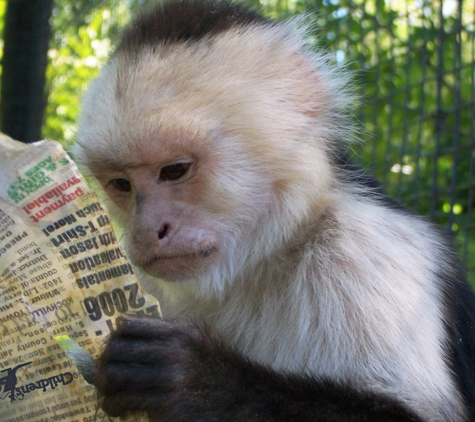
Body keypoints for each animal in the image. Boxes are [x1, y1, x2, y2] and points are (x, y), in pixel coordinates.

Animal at [71, 1, 475, 420]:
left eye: (175, 170)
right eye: (121, 184)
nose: (147, 230)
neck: (258, 258)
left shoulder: (367, 252)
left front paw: (196, 379)